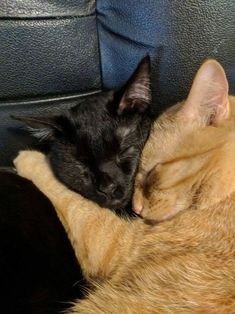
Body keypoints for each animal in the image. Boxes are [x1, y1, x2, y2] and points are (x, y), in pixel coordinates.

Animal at [14, 60, 235, 312]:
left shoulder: (117, 242)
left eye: (151, 172)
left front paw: (29, 159)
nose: (135, 208)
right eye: (80, 165)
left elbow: (75, 203)